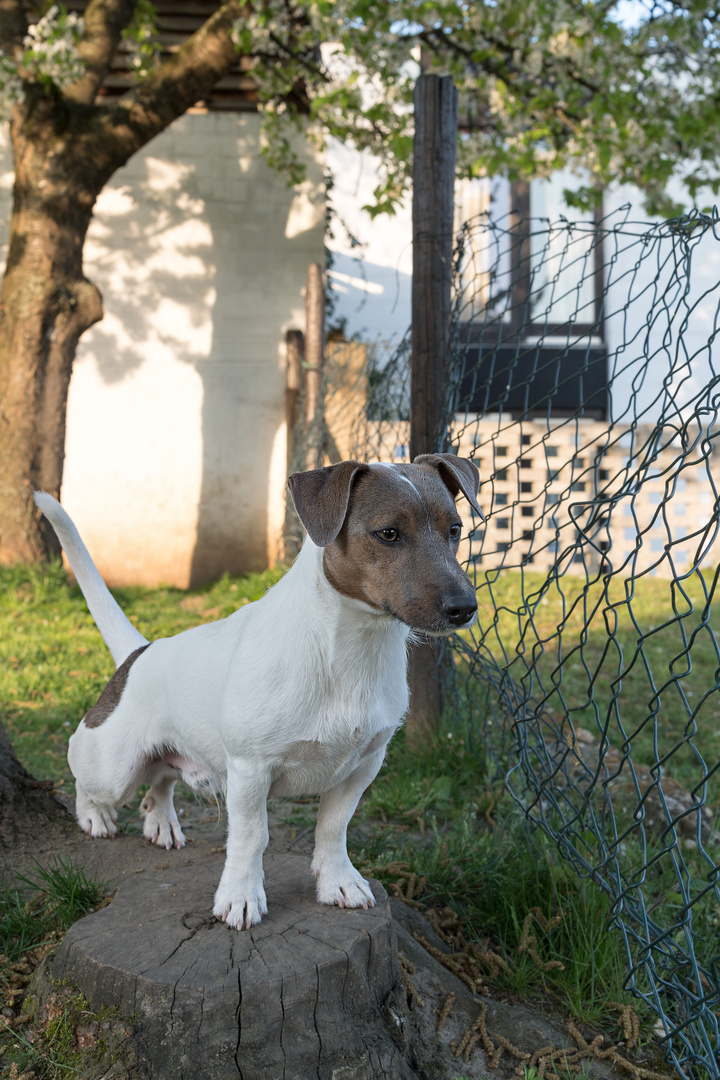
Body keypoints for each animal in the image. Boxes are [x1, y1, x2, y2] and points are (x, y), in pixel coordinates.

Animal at [35, 453, 483, 928]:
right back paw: (94, 815)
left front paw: (338, 882)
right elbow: (252, 838)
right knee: (85, 774)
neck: (351, 648)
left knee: (162, 779)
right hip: (112, 770)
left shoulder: (363, 765)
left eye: (455, 529)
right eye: (389, 533)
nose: (464, 608)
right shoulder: (251, 770)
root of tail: (141, 651)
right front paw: (240, 897)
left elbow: (334, 828)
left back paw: (161, 822)